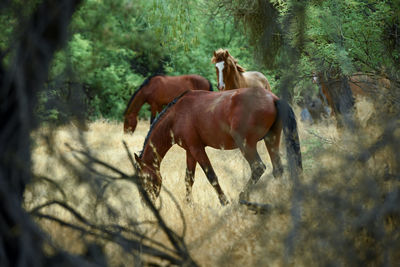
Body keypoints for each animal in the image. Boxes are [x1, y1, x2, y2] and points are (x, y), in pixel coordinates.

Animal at [133, 88, 302, 207]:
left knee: (258, 167)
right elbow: (189, 178)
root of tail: (273, 98)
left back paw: (242, 198)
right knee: (277, 169)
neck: (176, 116)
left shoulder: (197, 149)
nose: (145, 203)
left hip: (246, 145)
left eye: (144, 179)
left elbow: (211, 176)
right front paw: (189, 204)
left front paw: (224, 202)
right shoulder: (190, 151)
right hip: (271, 140)